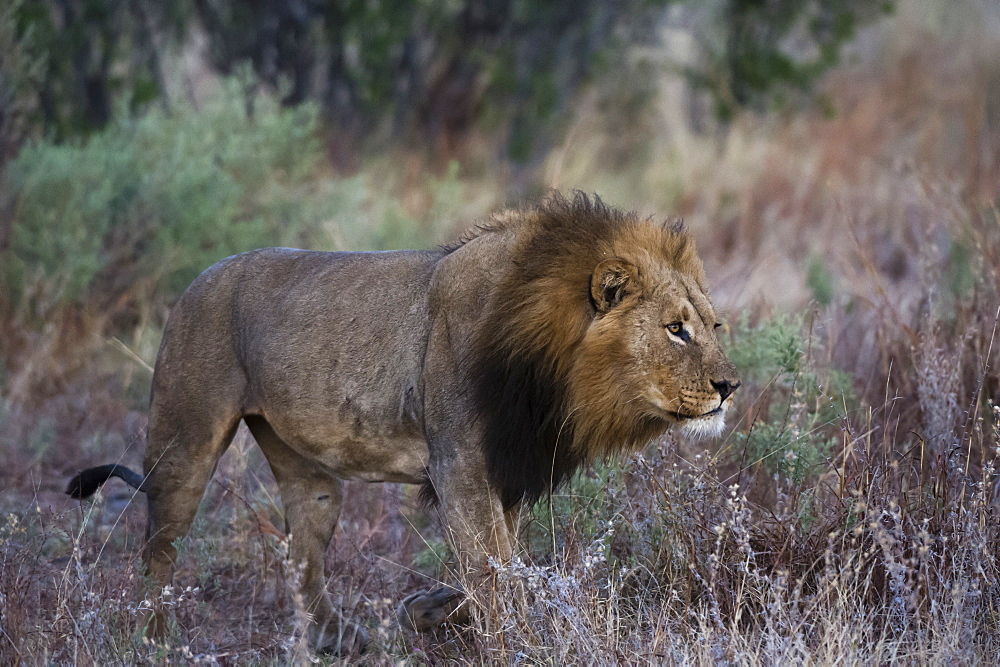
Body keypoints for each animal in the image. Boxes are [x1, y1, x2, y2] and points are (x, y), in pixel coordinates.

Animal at [62, 190, 736, 656]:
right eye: (676, 329)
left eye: (713, 325)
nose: (730, 387)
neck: (551, 365)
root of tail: (195, 281)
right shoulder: (460, 466)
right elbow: (495, 575)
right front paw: (515, 641)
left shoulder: (504, 474)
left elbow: (497, 567)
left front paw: (427, 610)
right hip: (186, 440)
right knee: (159, 547)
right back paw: (154, 639)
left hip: (310, 475)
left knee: (300, 556)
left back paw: (338, 641)